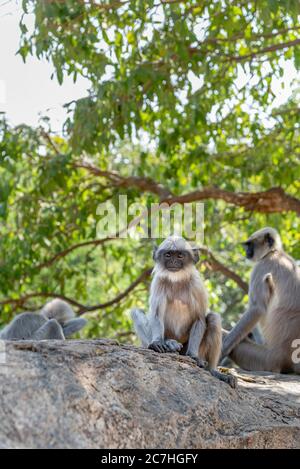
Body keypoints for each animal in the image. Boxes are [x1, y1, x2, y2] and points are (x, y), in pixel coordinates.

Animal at [131, 236, 237, 386]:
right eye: (168, 255)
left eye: (180, 255)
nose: (173, 262)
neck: (177, 281)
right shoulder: (159, 281)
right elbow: (156, 315)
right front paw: (157, 342)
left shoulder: (196, 285)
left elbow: (199, 318)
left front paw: (193, 356)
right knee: (136, 312)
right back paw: (169, 344)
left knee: (213, 318)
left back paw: (212, 371)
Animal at [221, 227, 300, 372]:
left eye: (250, 245)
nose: (247, 252)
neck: (274, 253)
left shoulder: (262, 265)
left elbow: (257, 309)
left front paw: (222, 349)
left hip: (269, 359)